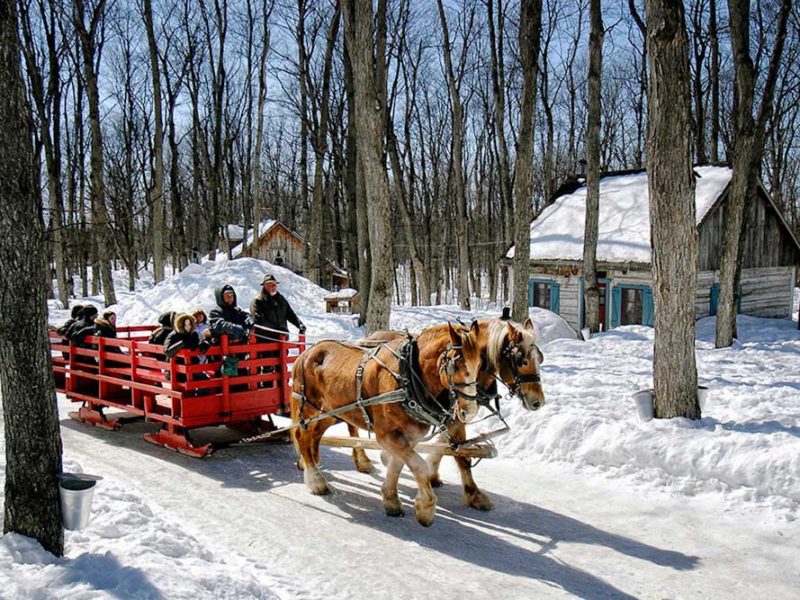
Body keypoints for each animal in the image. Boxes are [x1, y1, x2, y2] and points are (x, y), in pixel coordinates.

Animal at [292, 322, 482, 524]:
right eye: (456, 364)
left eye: (479, 364)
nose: (469, 410)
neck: (407, 376)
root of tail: (306, 353)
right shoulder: (386, 435)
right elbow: (419, 465)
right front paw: (426, 507)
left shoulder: (408, 436)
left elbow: (397, 465)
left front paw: (391, 499)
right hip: (309, 407)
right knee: (302, 436)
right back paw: (315, 479)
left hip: (331, 411)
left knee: (315, 434)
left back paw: (311, 462)